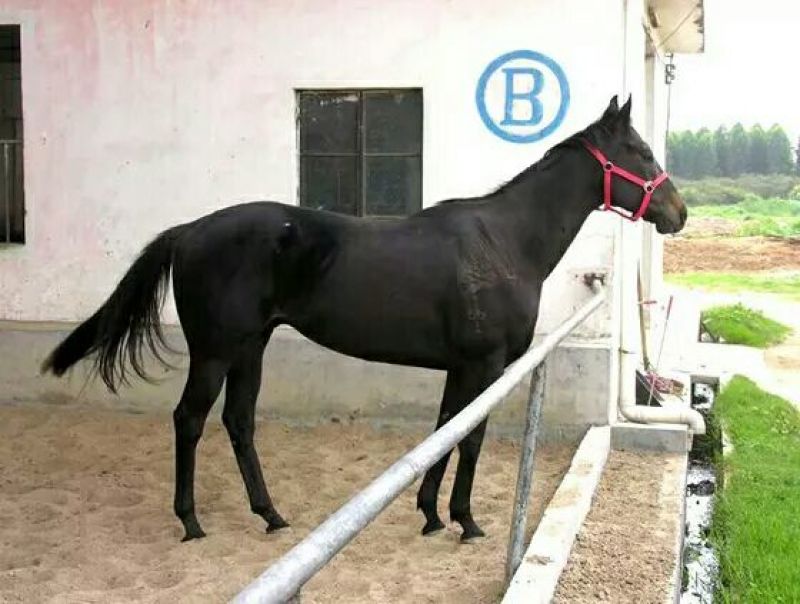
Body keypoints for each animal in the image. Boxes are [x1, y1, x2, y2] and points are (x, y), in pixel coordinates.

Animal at [43, 95, 686, 543]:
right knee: (190, 420)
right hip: (216, 350)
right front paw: (465, 520)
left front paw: (430, 514)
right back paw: (192, 521)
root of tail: (189, 231)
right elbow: (470, 438)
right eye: (641, 153)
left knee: (238, 422)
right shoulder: (485, 365)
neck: (505, 240)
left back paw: (271, 515)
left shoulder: (460, 368)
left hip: (251, 347)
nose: (678, 212)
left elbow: (444, 430)